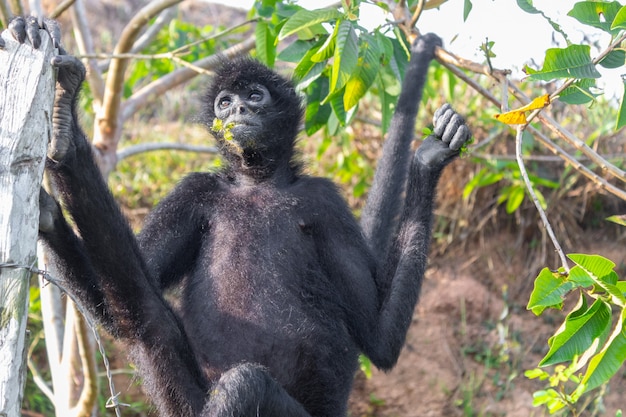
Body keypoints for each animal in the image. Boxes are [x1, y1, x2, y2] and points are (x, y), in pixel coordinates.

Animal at [4, 16, 470, 416]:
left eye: (254, 96)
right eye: (224, 102)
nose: (236, 112)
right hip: (186, 403)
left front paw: (429, 160)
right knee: (144, 314)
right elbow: (113, 315)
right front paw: (49, 214)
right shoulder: (194, 192)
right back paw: (66, 133)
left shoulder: (326, 202)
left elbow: (380, 341)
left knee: (246, 384)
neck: (257, 181)